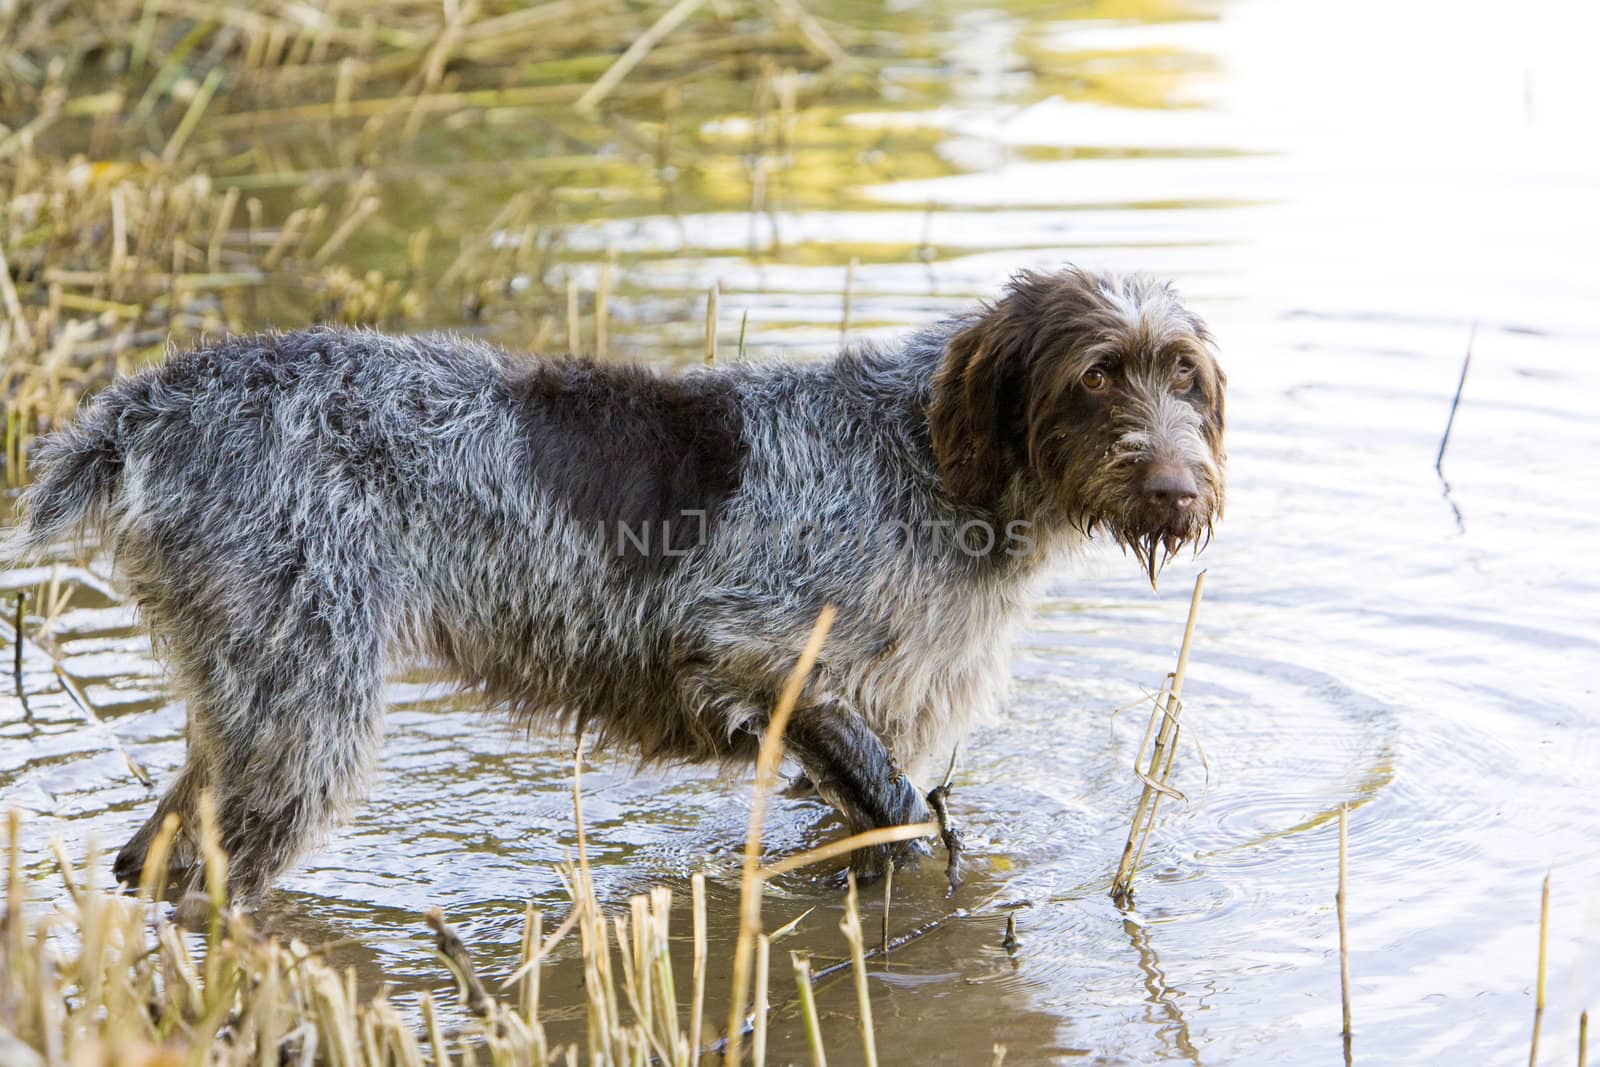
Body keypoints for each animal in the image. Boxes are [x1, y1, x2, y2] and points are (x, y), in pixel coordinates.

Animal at [6, 268, 1222, 908]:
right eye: (1096, 374)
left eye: (1186, 378)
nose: (1175, 489)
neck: (921, 457)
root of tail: (150, 405)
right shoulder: (748, 653)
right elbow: (902, 816)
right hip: (301, 714)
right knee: (195, 873)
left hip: (254, 700)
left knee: (146, 857)